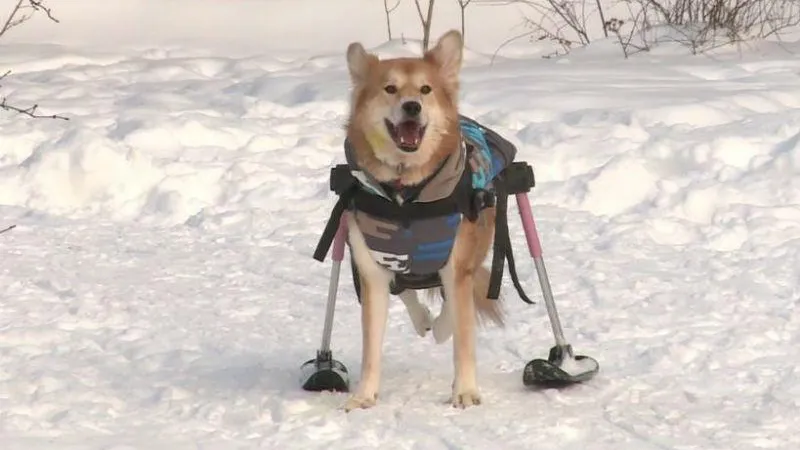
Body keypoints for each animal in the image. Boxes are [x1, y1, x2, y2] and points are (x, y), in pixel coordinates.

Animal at [340, 29, 504, 412]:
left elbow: (463, 337)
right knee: (406, 290)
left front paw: (465, 391)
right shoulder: (372, 270)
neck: (406, 194)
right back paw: (423, 319)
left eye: (426, 89)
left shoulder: (457, 264)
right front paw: (365, 394)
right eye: (390, 88)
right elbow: (371, 345)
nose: (412, 106)